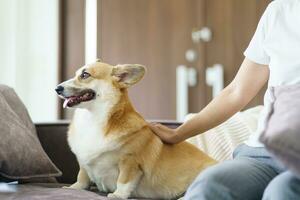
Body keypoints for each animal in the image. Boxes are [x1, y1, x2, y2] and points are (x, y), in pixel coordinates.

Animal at [55, 60, 216, 199]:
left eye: (85, 75)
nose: (57, 88)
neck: (92, 119)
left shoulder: (130, 162)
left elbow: (123, 181)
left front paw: (117, 195)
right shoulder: (84, 162)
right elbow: (82, 176)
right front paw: (74, 188)